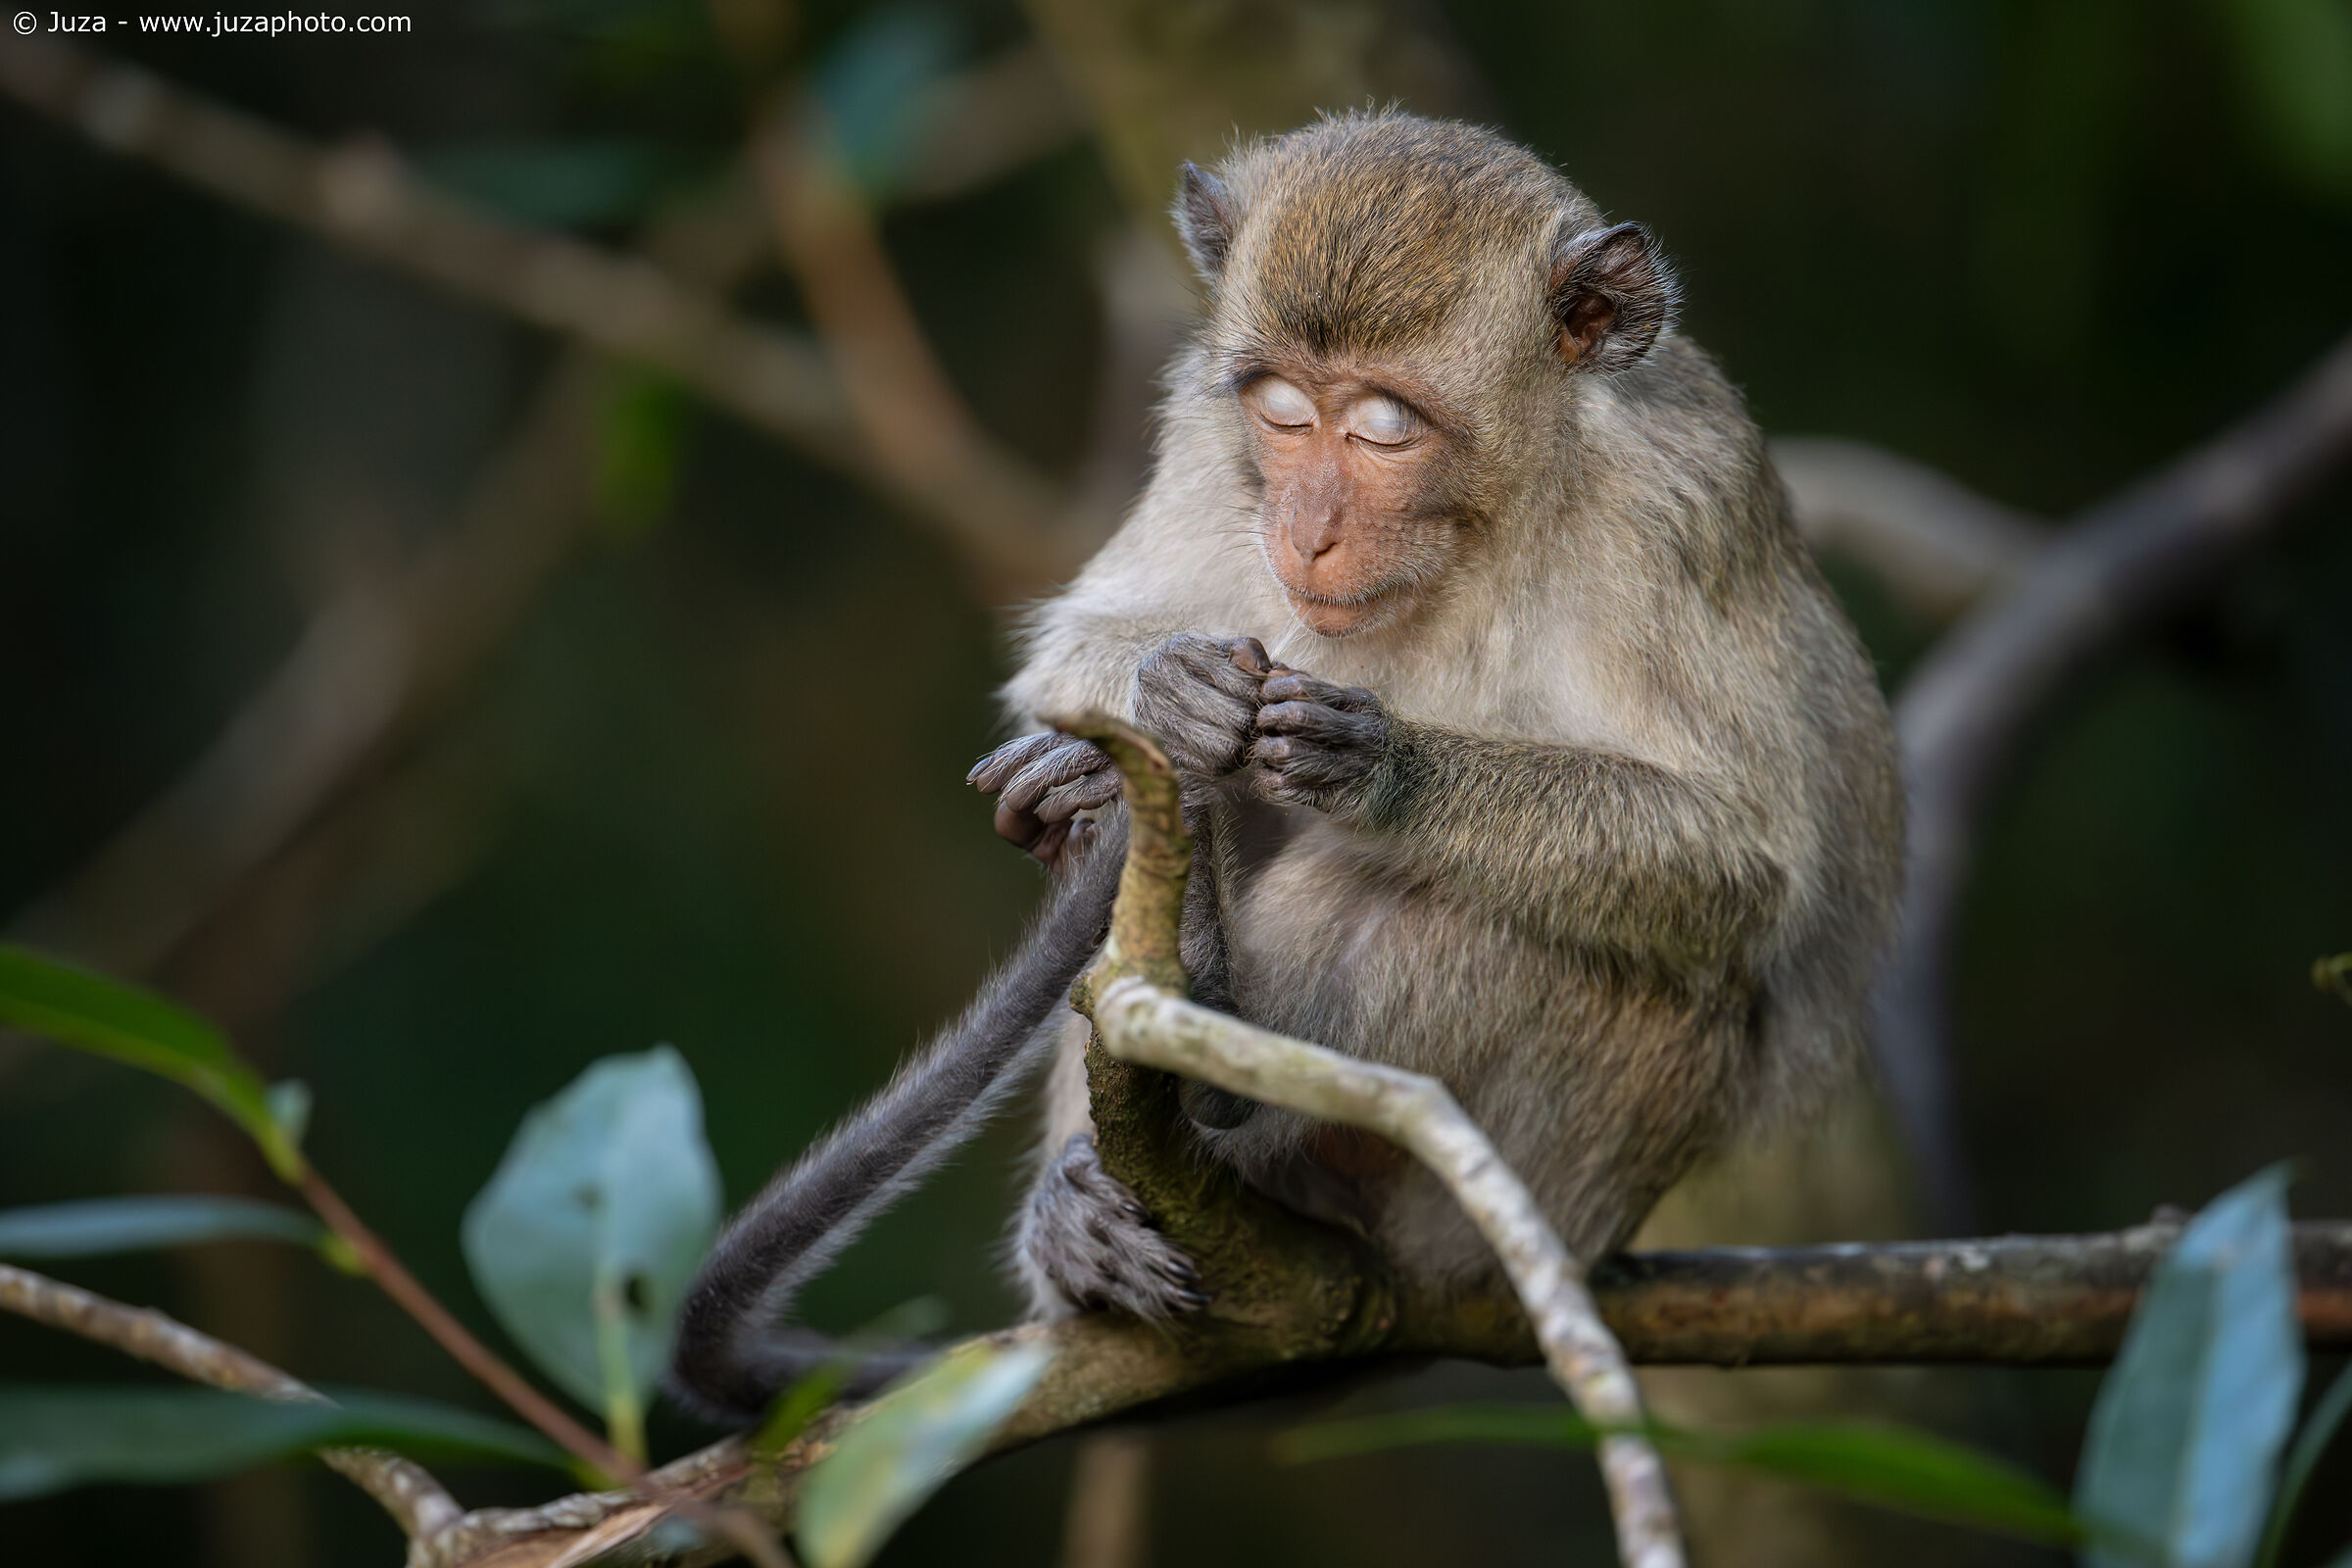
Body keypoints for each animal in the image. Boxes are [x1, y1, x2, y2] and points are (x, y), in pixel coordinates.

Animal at [671, 109, 1902, 1419]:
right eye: (1280, 408)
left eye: (1384, 426)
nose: (1305, 529)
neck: (1491, 516)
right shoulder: (1204, 432)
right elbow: (1075, 648)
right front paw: (1160, 703)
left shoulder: (1676, 510)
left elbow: (1742, 863)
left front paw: (1378, 765)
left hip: (1550, 1180)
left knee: (1462, 915)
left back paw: (1215, 1046)